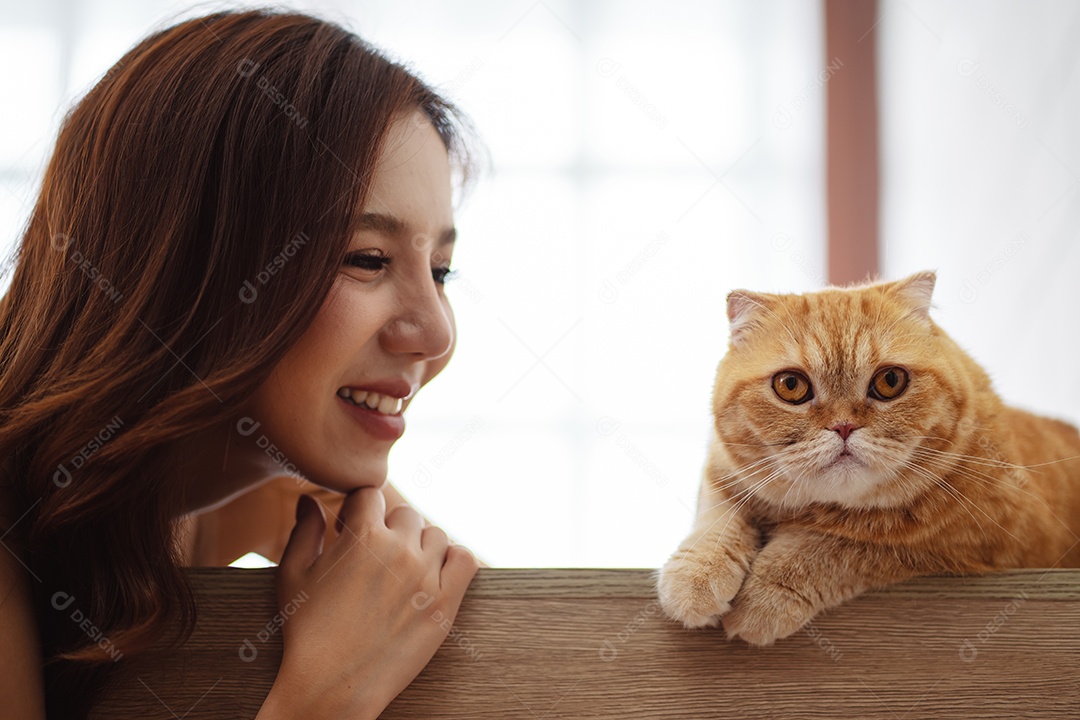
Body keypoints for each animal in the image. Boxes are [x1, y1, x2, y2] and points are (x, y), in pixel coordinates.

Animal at [652, 273, 1080, 643]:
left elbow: (835, 545)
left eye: (890, 381)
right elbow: (717, 520)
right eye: (791, 386)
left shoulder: (974, 541)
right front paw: (695, 576)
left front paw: (766, 595)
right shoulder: (723, 473)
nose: (843, 426)